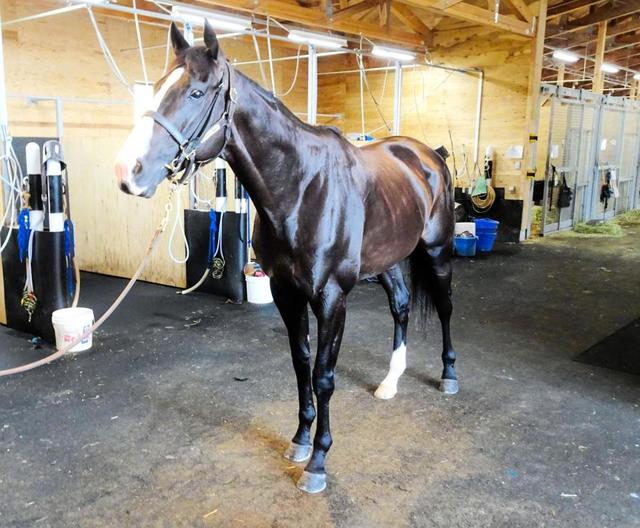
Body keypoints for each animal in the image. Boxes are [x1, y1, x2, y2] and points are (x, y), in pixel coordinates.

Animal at [115, 21, 458, 494]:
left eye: (197, 93)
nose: (127, 171)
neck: (300, 188)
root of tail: (428, 155)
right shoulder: (285, 292)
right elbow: (300, 365)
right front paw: (299, 441)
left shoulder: (331, 298)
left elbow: (324, 376)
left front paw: (318, 461)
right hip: (387, 260)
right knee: (402, 306)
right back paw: (390, 382)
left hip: (438, 250)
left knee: (443, 307)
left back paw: (448, 376)